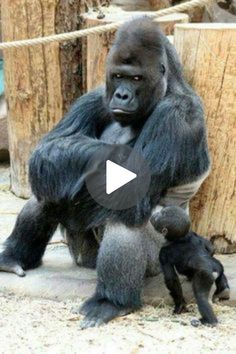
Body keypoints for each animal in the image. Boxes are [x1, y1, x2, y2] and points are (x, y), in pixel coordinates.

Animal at [0, 19, 210, 328]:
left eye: (136, 79)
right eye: (119, 76)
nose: (122, 95)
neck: (169, 87)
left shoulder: (179, 115)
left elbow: (132, 186)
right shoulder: (96, 95)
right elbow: (51, 150)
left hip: (159, 259)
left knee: (125, 217)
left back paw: (113, 301)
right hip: (84, 255)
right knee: (51, 184)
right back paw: (12, 257)